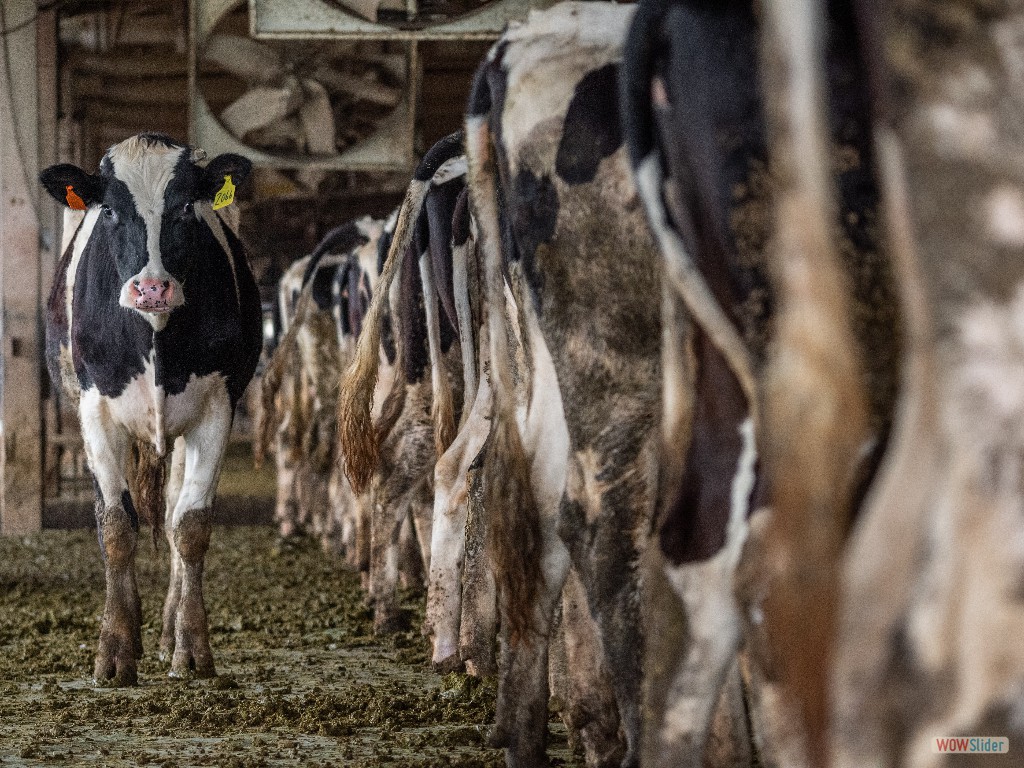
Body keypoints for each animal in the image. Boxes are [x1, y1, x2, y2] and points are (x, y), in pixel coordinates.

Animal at [42, 134, 260, 684]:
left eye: (185, 206)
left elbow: (190, 526)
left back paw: (164, 632)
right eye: (110, 211)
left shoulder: (216, 408)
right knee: (113, 512)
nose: (152, 287)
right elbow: (117, 528)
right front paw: (114, 650)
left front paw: (192, 646)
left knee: (171, 508)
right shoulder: (96, 411)